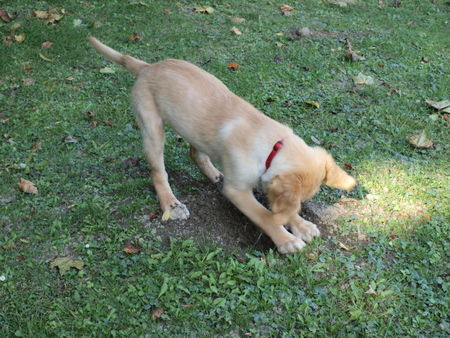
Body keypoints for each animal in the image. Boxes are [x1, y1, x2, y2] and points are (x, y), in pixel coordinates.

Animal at [87, 37, 356, 254]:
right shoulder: (237, 190)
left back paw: (215, 175)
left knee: (195, 153)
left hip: (195, 131)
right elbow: (266, 215)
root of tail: (147, 67)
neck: (270, 145)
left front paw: (300, 225)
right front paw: (286, 239)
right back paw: (171, 204)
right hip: (152, 128)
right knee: (158, 172)